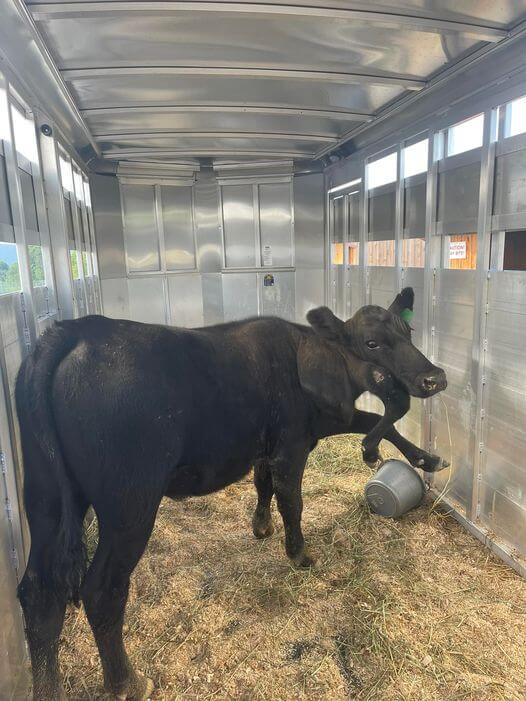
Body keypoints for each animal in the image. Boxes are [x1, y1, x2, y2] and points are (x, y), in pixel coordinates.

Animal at [16, 287, 446, 700]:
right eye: (372, 343)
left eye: (408, 332)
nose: (434, 377)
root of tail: (74, 330)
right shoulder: (292, 444)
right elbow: (293, 499)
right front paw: (300, 553)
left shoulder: (294, 433)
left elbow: (277, 475)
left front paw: (424, 458)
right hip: (129, 503)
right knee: (102, 590)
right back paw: (128, 683)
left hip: (45, 498)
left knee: (38, 592)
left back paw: (49, 689)